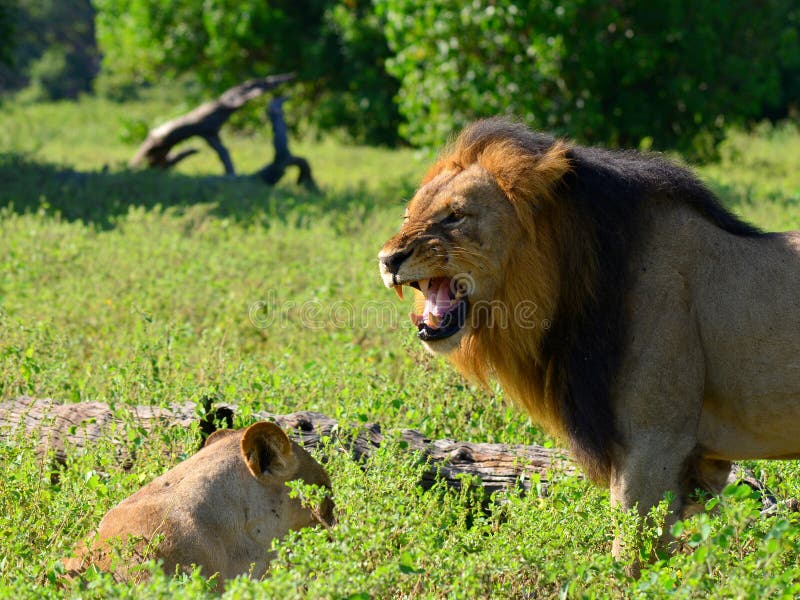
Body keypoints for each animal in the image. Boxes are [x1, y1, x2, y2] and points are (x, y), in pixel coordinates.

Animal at [380, 119, 800, 556]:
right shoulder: (701, 463)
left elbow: (629, 557)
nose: (387, 260)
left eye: (455, 216)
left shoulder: (655, 443)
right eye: (408, 214)